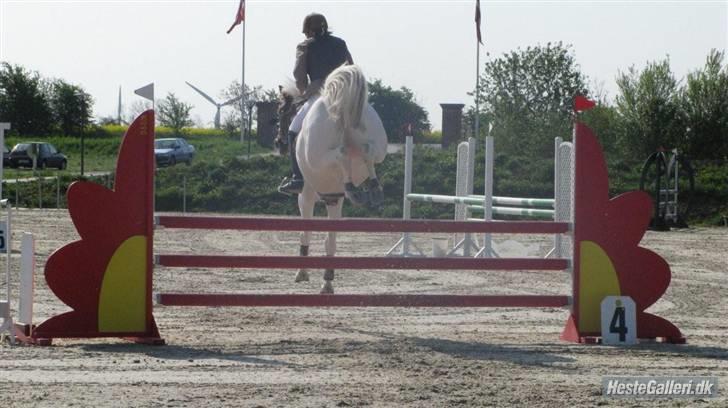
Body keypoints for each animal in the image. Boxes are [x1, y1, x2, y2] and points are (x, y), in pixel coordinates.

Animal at [278, 64, 390, 294]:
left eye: (280, 112)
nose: (279, 143)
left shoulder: (306, 196)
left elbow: (305, 232)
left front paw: (302, 272)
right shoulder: (334, 198)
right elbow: (330, 240)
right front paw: (327, 281)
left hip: (322, 156)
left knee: (341, 153)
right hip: (376, 145)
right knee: (367, 151)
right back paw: (372, 190)